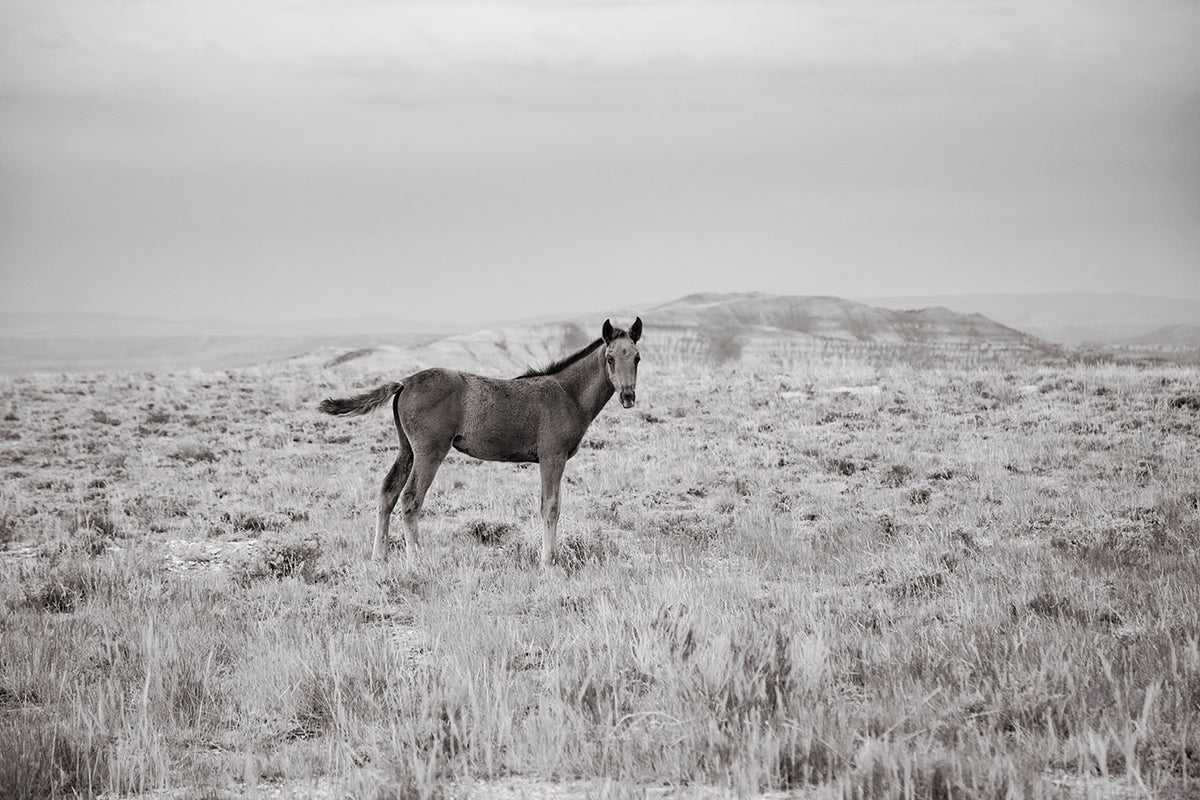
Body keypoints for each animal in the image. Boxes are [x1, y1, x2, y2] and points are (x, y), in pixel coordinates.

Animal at [316, 316, 638, 566]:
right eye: (610, 358)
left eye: (636, 358)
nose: (628, 397)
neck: (568, 394)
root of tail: (405, 382)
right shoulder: (552, 457)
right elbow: (550, 506)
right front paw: (549, 560)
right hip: (429, 451)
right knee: (410, 498)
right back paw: (416, 560)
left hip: (406, 449)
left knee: (388, 492)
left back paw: (379, 558)